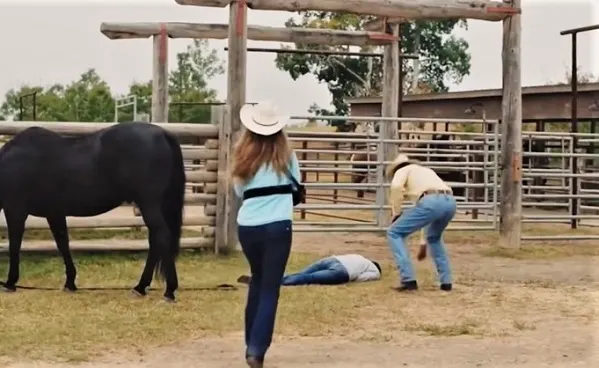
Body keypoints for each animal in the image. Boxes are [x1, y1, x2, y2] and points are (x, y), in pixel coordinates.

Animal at [0, 123, 185, 302]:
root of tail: (163, 134)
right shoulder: (54, 213)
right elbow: (63, 244)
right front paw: (70, 283)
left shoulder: (15, 211)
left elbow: (14, 245)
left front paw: (10, 283)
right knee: (155, 241)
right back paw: (140, 288)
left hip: (149, 204)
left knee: (162, 237)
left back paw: (168, 291)